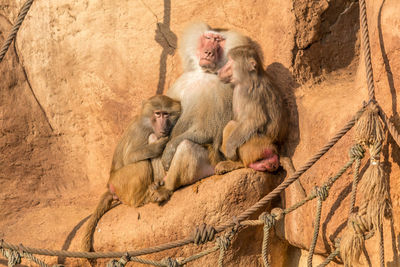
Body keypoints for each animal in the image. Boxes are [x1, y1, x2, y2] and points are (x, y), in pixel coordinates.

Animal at [80, 96, 180, 253]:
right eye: (157, 114)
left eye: (166, 114)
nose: (163, 127)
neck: (149, 123)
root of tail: (110, 183)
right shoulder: (139, 131)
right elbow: (130, 157)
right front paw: (158, 145)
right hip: (121, 182)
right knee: (141, 163)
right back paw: (147, 197)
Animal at [160, 22, 248, 192]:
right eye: (207, 38)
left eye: (218, 41)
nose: (208, 52)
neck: (205, 73)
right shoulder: (181, 81)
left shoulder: (222, 91)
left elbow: (207, 130)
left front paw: (168, 151)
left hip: (210, 163)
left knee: (187, 147)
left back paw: (166, 189)